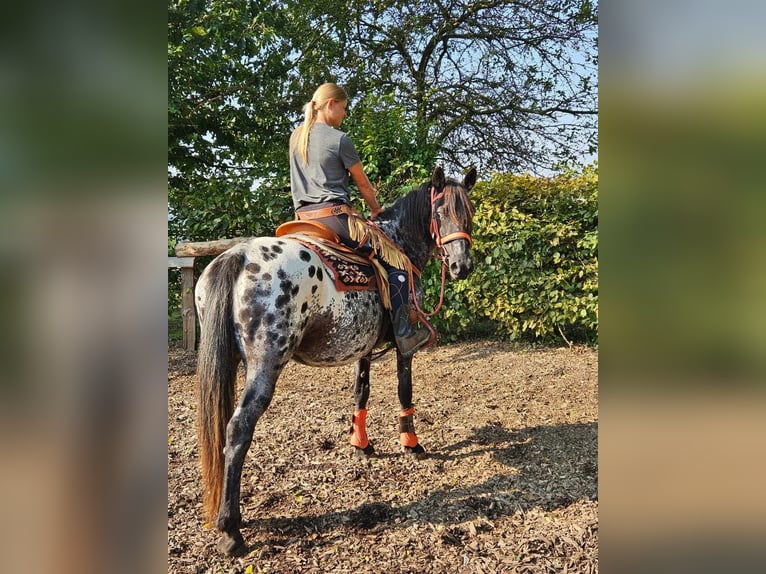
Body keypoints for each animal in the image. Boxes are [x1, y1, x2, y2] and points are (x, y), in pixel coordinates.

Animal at [195, 166, 476, 560]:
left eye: (469, 212)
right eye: (440, 212)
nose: (461, 266)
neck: (400, 245)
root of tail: (236, 255)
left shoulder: (363, 346)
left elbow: (361, 391)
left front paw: (361, 443)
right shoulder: (404, 347)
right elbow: (404, 390)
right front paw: (411, 441)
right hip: (265, 365)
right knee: (238, 430)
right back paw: (231, 529)